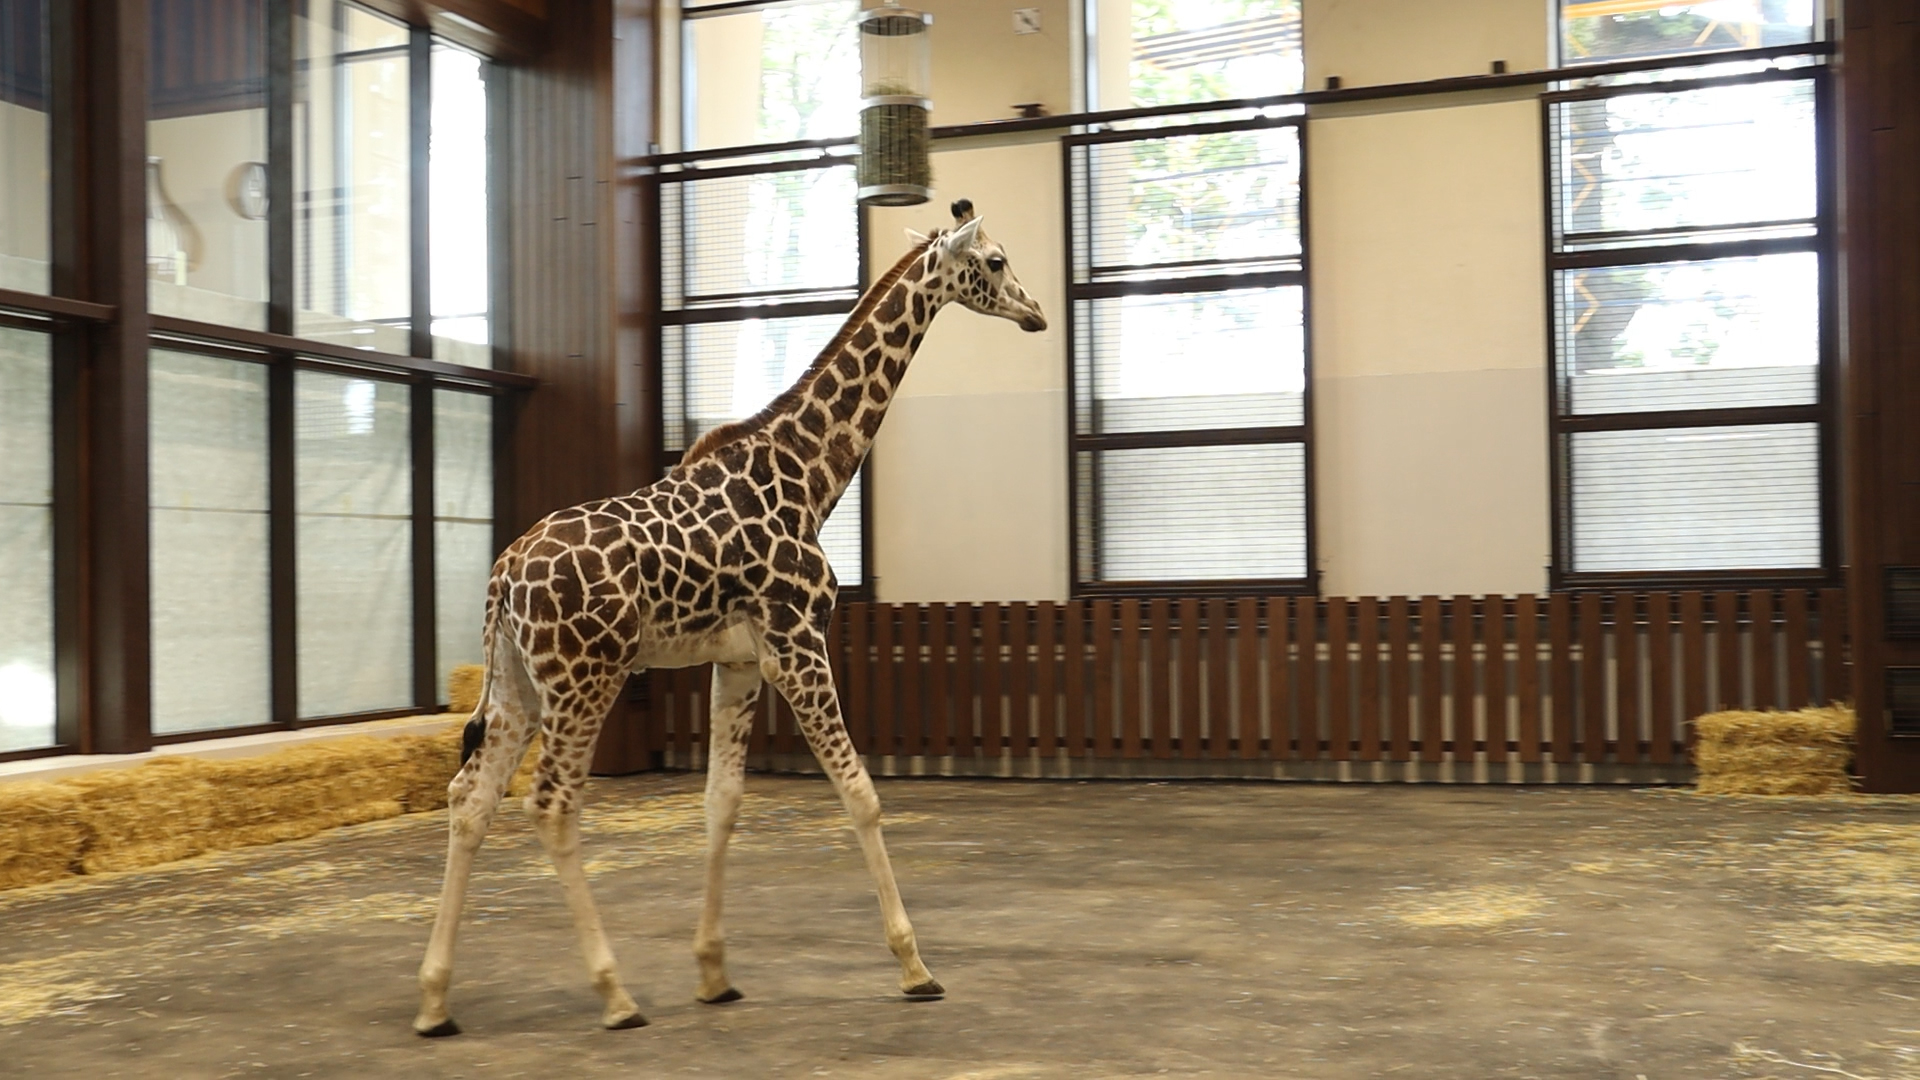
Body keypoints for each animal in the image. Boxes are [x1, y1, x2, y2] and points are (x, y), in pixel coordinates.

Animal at [413, 200, 1046, 1036]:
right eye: (998, 261)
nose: (1037, 313)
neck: (811, 473)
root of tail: (503, 577)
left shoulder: (739, 659)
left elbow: (723, 802)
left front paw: (714, 973)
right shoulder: (796, 641)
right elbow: (861, 795)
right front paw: (915, 966)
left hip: (518, 686)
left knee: (470, 801)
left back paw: (434, 1000)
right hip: (584, 679)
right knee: (550, 803)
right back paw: (615, 995)